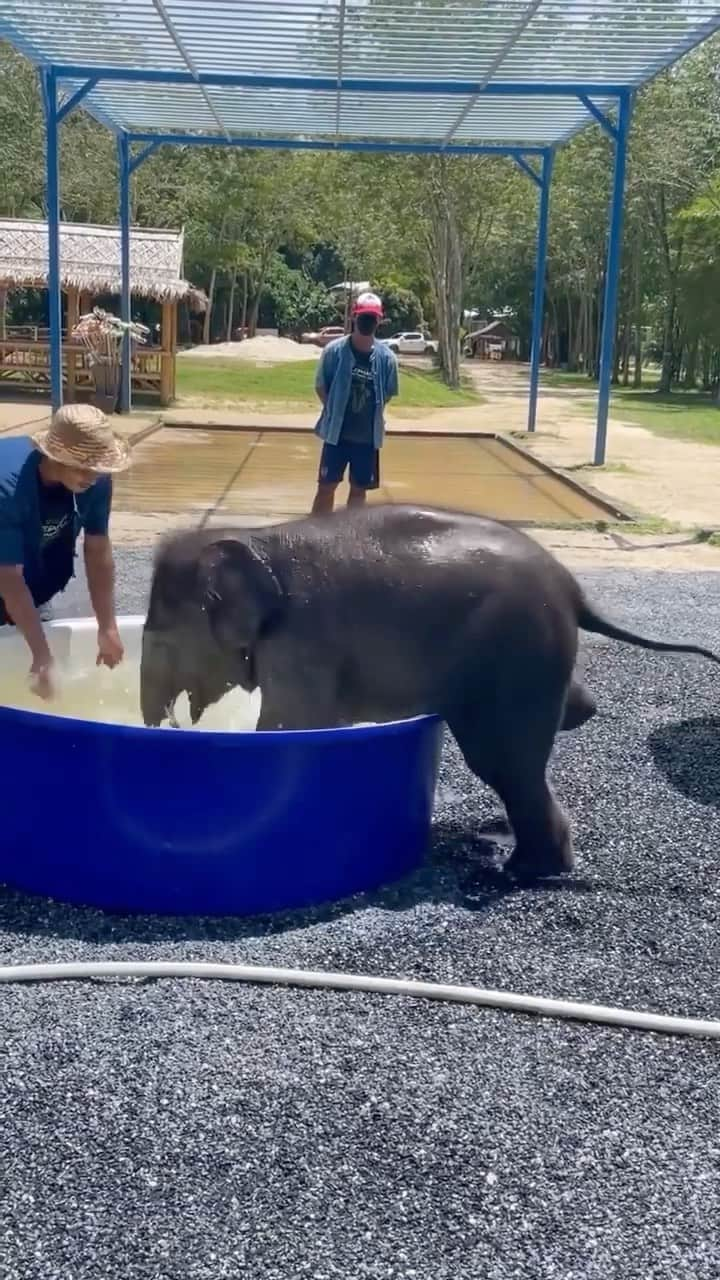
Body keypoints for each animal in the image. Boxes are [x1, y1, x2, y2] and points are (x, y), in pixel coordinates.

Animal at [140, 504, 717, 885]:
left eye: (162, 640)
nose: (168, 727)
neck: (257, 538)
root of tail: (575, 590)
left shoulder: (302, 643)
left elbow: (289, 725)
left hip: (517, 650)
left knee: (504, 761)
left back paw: (519, 871)